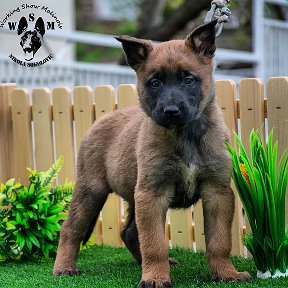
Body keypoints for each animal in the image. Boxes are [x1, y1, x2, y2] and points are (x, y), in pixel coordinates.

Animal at [53, 19, 251, 286]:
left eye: (188, 80)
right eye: (155, 83)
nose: (171, 111)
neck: (185, 135)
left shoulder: (217, 192)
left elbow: (219, 241)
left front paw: (226, 273)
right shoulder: (152, 194)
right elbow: (154, 243)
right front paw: (155, 278)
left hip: (131, 193)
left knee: (128, 232)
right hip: (91, 190)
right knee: (70, 229)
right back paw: (64, 267)